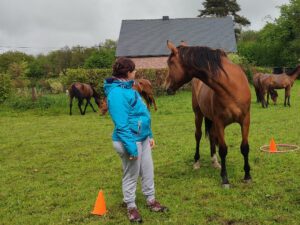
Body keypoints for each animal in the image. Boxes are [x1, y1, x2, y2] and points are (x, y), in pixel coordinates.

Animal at [165, 40, 252, 188]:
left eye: (170, 63)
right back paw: (196, 162)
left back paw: (215, 162)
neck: (231, 87)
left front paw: (247, 176)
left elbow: (244, 147)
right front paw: (225, 180)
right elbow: (223, 150)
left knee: (211, 136)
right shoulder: (220, 123)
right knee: (198, 135)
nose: (166, 88)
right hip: (198, 115)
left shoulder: (245, 120)